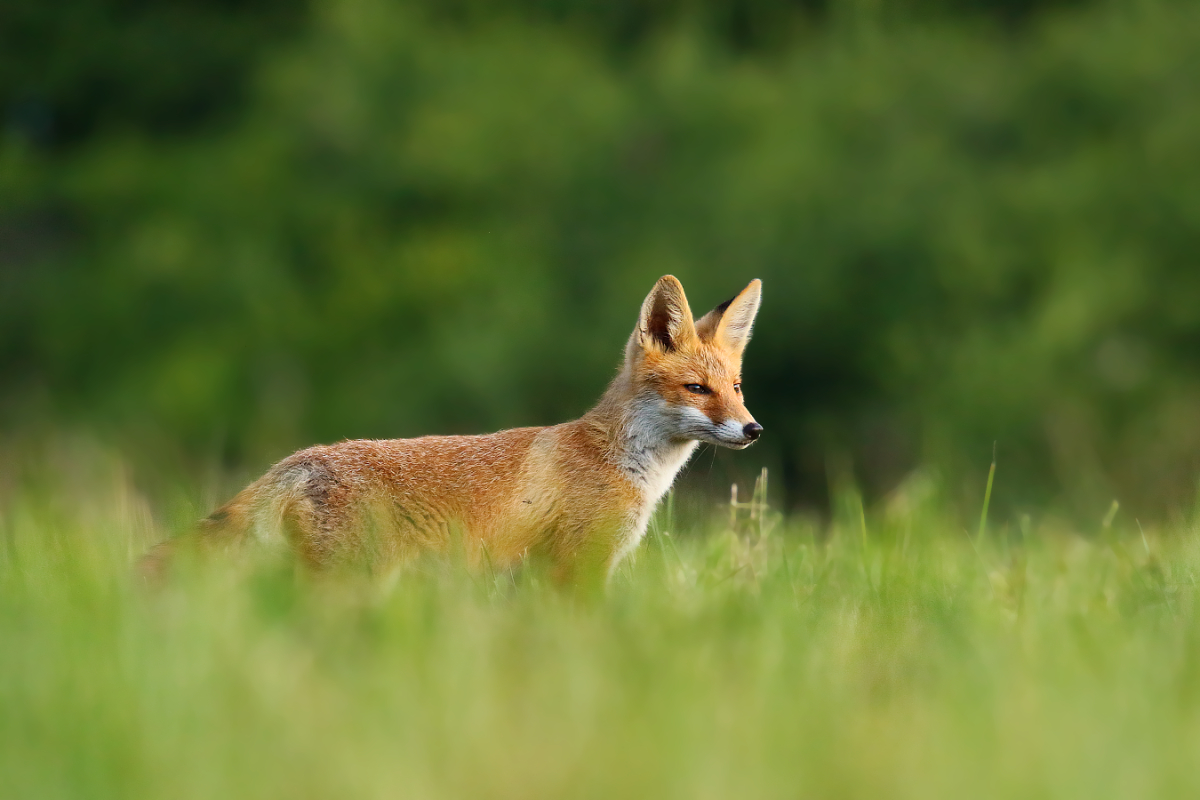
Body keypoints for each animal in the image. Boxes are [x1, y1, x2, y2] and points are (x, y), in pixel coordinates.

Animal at [140, 277, 758, 587]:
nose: (753, 429)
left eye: (736, 386)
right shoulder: (574, 567)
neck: (618, 461)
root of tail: (297, 461)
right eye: (697, 389)